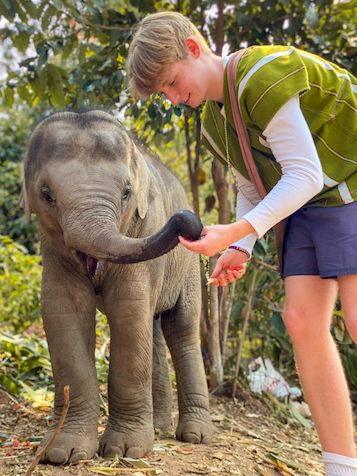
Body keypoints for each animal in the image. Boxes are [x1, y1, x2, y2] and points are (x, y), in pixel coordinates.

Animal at [21, 109, 211, 462]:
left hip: (189, 270)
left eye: (126, 193)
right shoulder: (50, 246)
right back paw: (159, 427)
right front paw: (62, 453)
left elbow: (128, 309)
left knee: (181, 329)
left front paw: (125, 451)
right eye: (46, 194)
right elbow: (62, 310)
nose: (188, 222)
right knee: (154, 330)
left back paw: (195, 436)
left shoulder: (145, 228)